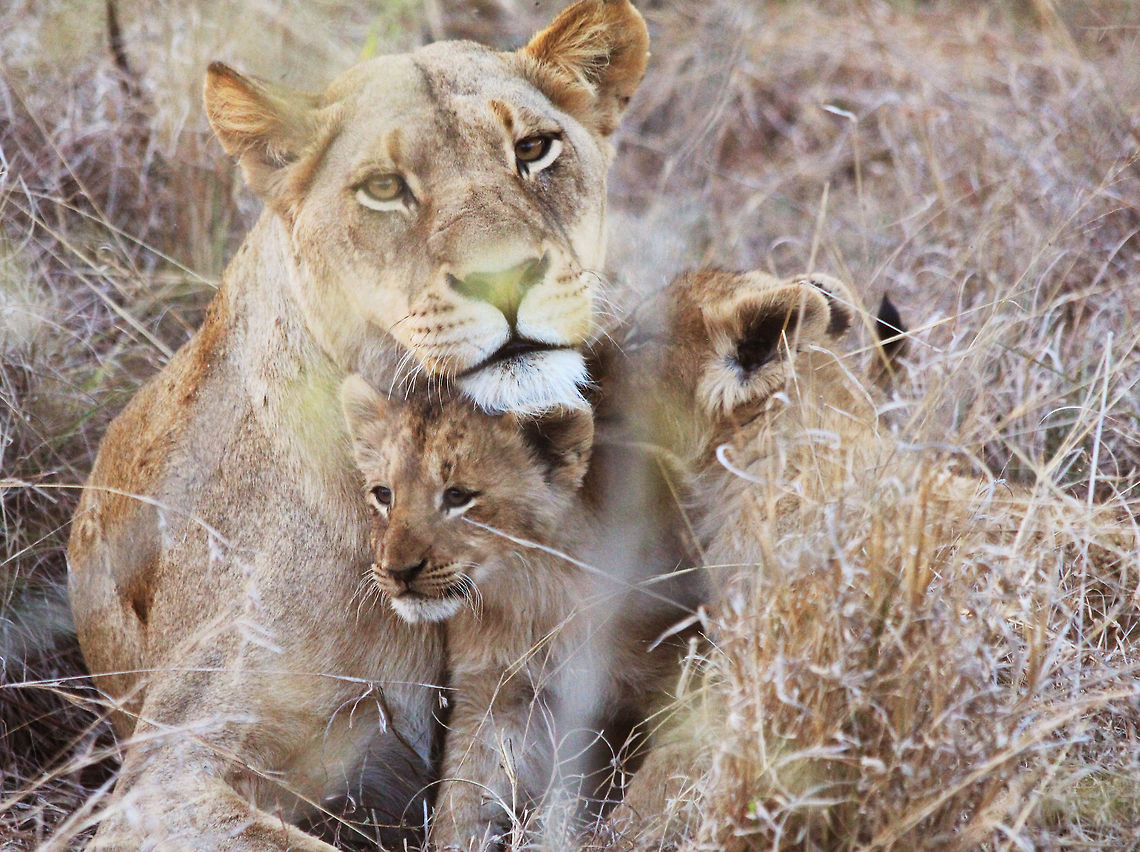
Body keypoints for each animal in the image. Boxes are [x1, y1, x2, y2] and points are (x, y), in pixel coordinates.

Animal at [340, 375, 702, 851]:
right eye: (384, 494)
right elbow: (463, 799)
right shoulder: (497, 695)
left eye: (458, 496)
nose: (399, 572)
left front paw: (626, 834)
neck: (534, 595)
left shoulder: (681, 670)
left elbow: (663, 778)